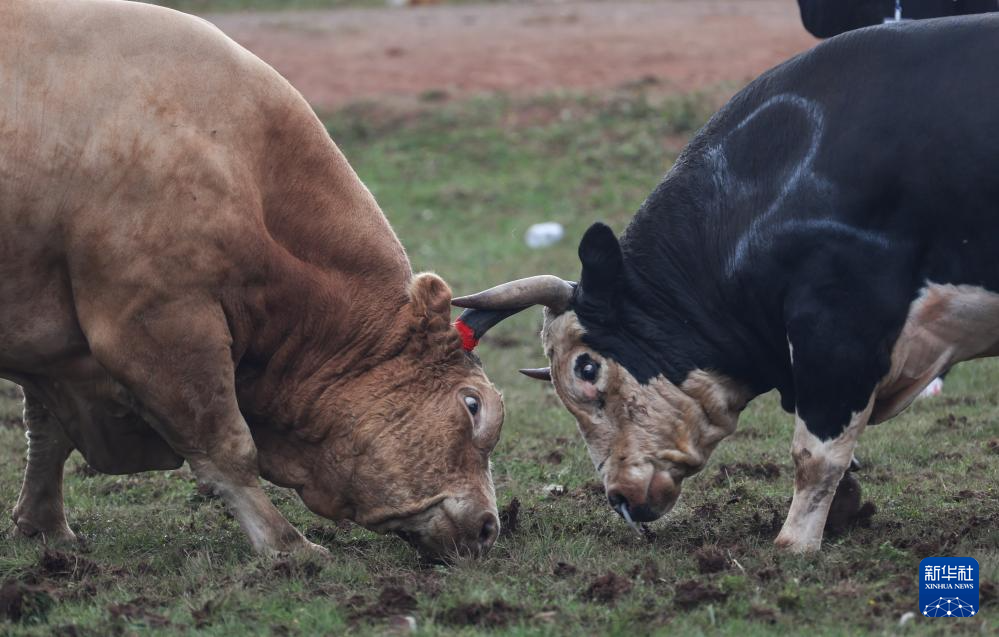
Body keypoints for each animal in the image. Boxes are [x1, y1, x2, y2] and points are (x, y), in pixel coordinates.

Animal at [0, 0, 500, 556]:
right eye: (474, 404)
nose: (489, 526)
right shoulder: (161, 324)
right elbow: (227, 444)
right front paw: (289, 548)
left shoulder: (55, 344)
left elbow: (47, 432)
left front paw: (45, 525)